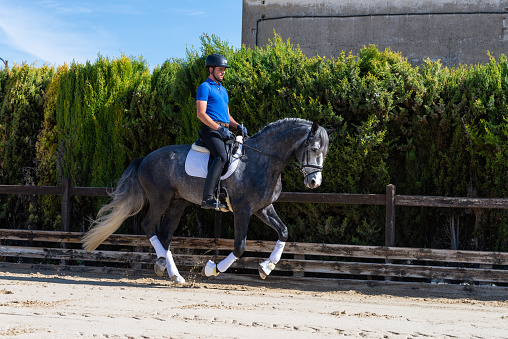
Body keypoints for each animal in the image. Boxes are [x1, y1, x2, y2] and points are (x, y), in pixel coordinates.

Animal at [81, 119, 332, 284]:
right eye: (313, 148)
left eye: (325, 152)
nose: (314, 182)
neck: (261, 160)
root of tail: (145, 158)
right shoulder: (243, 209)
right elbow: (240, 247)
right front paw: (212, 269)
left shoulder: (262, 208)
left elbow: (284, 232)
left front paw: (266, 267)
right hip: (160, 198)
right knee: (149, 225)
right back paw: (163, 264)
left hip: (177, 202)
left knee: (166, 234)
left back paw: (173, 273)